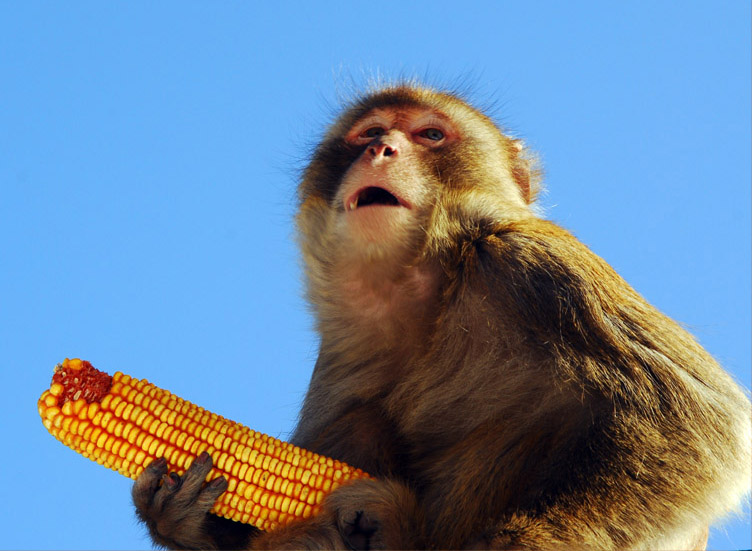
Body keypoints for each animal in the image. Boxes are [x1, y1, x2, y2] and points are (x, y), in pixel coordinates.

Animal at [132, 84, 748, 548]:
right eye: (370, 132)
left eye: (430, 135)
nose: (382, 150)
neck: (432, 286)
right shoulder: (342, 348)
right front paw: (180, 517)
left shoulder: (533, 265)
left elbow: (696, 421)